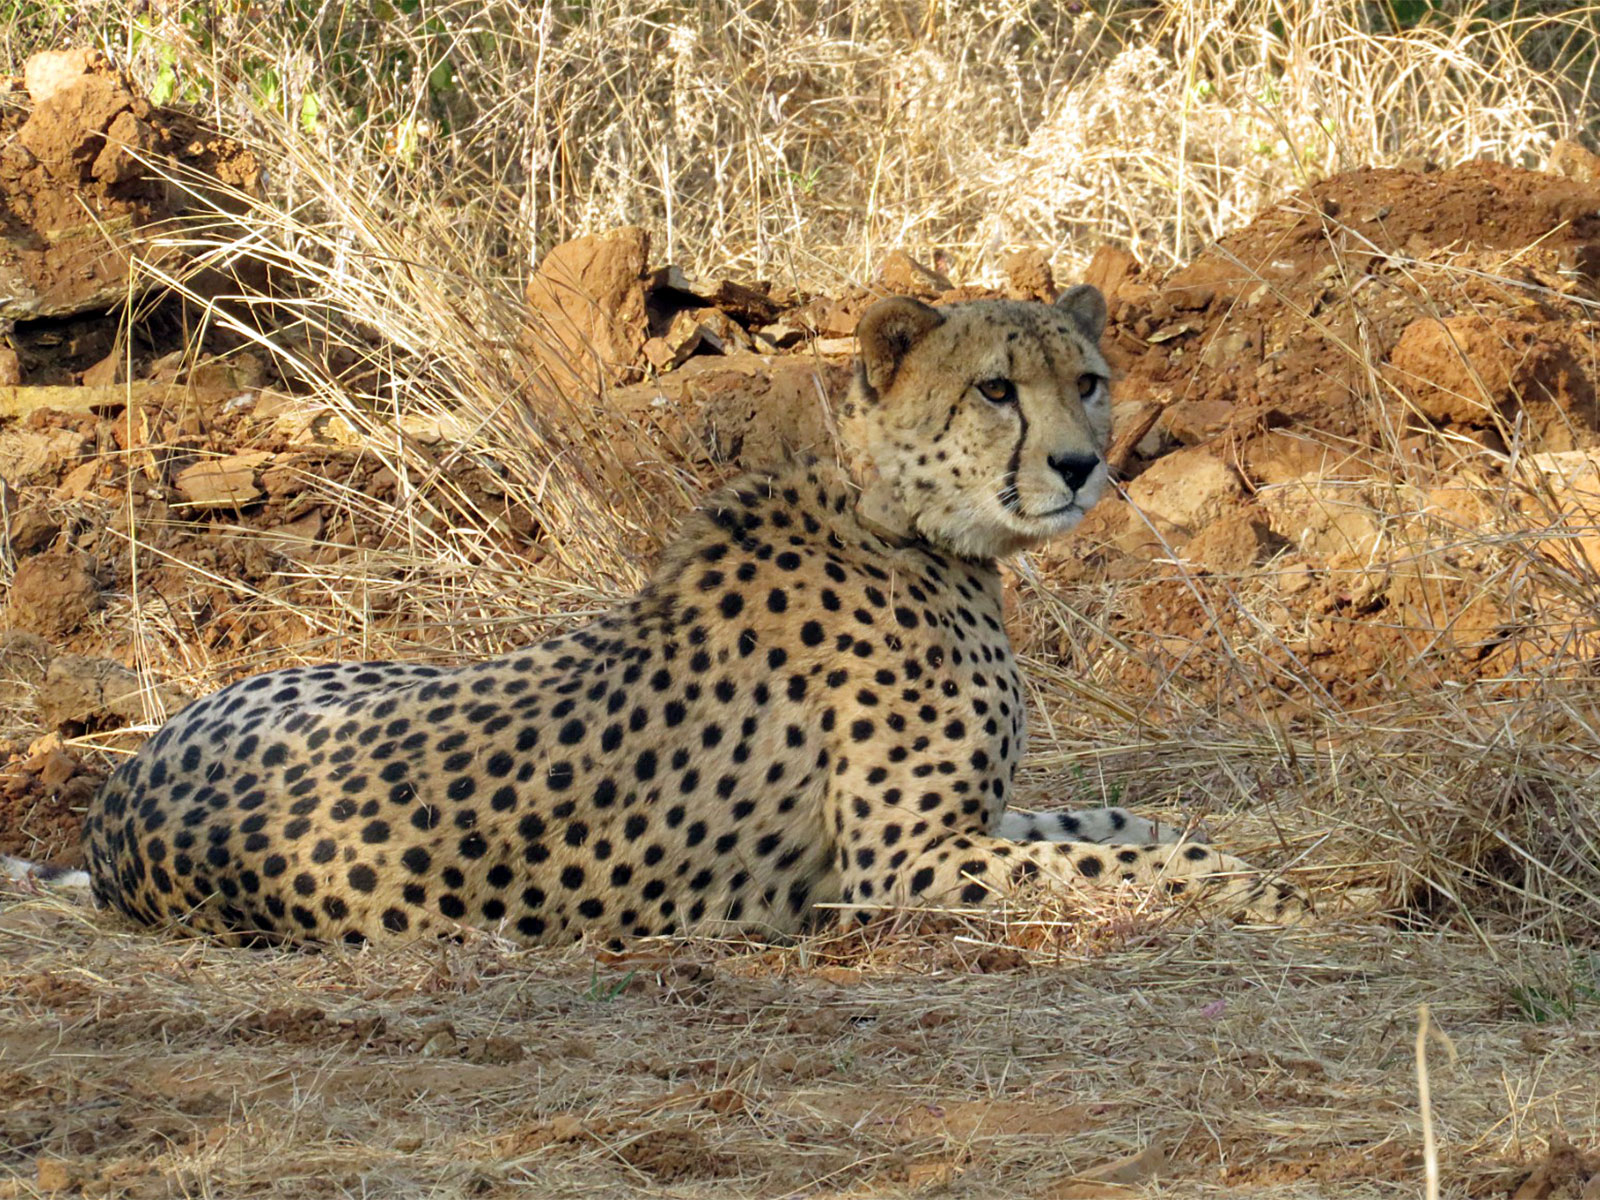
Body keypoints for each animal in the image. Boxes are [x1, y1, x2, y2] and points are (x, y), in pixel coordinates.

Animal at [74, 285, 1305, 946]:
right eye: (996, 390)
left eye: (1087, 379)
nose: (1081, 465)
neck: (902, 521)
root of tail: (112, 808)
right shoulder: (896, 866)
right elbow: (1110, 866)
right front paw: (1250, 890)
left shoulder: (969, 825)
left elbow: (1116, 826)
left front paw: (1227, 858)